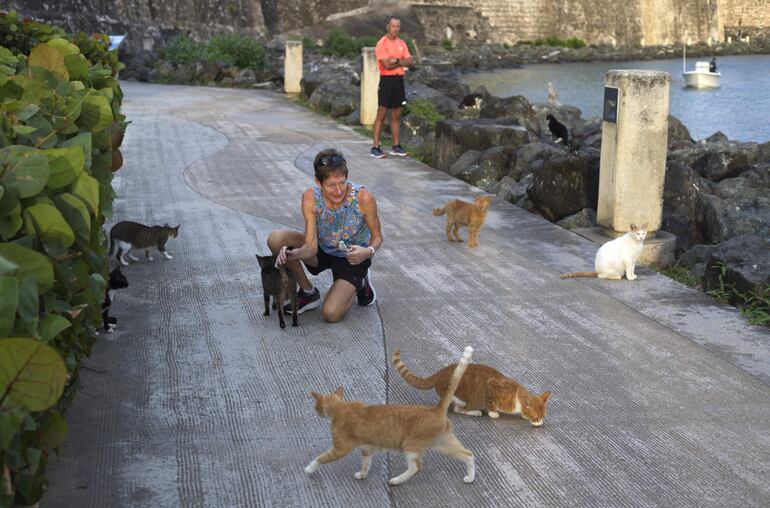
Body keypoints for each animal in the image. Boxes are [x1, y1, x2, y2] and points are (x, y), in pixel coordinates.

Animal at [304, 346, 474, 484]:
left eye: (316, 407)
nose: (316, 412)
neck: (341, 407)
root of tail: (436, 409)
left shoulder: (340, 448)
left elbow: (320, 458)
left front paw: (309, 468)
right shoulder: (367, 448)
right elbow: (366, 464)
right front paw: (362, 475)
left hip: (410, 445)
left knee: (416, 467)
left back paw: (396, 480)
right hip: (443, 444)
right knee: (468, 454)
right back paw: (470, 477)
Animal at [392, 350, 548, 424]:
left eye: (543, 416)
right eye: (536, 417)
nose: (540, 423)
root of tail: (440, 373)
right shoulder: (490, 386)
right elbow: (490, 404)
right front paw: (493, 413)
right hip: (460, 397)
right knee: (458, 409)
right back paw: (476, 412)